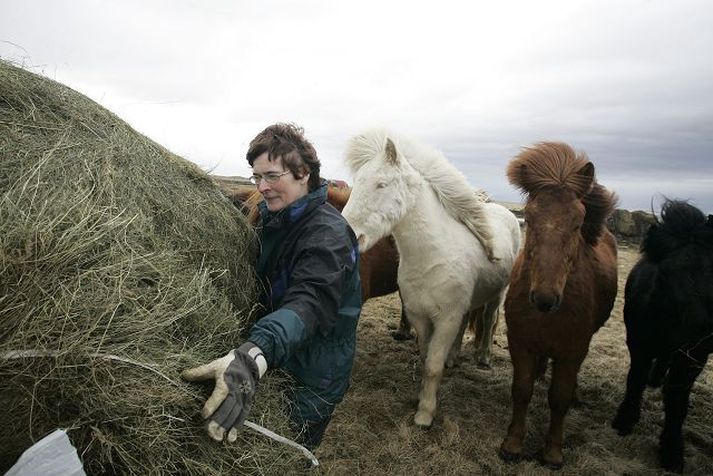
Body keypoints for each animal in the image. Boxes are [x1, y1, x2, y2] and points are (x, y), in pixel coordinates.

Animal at [342, 128, 520, 426]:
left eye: (381, 185)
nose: (349, 235)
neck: (433, 256)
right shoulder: (420, 317)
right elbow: (427, 358)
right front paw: (421, 400)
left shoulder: (446, 319)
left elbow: (433, 366)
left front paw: (425, 415)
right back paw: (454, 357)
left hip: (497, 296)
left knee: (488, 319)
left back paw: (483, 357)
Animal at [500, 142, 616, 468]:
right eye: (529, 218)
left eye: (578, 222)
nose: (544, 298)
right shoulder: (521, 343)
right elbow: (522, 390)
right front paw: (512, 445)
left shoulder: (572, 351)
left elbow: (559, 398)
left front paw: (552, 452)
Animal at [612, 200, 712, 472]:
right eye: (666, 273)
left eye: (710, 270)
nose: (701, 328)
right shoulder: (638, 342)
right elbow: (635, 379)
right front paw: (625, 420)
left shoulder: (693, 358)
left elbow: (677, 400)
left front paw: (672, 451)